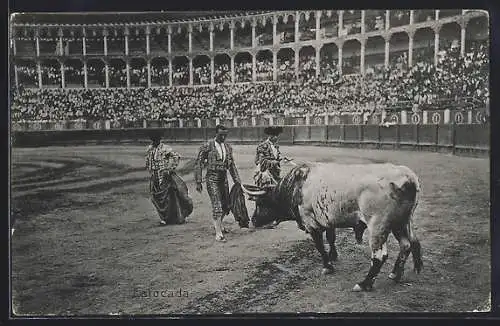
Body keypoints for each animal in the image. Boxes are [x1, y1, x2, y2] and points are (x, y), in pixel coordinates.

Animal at [242, 162, 422, 292]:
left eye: (261, 203)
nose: (253, 220)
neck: (296, 185)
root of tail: (408, 178)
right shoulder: (328, 221)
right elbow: (331, 238)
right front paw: (333, 255)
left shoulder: (311, 223)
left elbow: (320, 246)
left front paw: (327, 266)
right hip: (401, 223)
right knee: (407, 244)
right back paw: (396, 274)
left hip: (378, 226)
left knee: (380, 256)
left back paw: (364, 284)